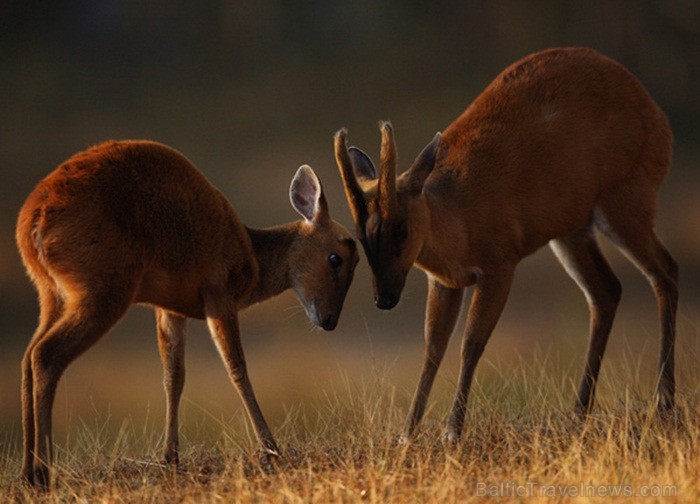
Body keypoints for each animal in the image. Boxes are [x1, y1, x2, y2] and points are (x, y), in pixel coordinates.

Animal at [15, 140, 360, 486]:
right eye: (336, 258)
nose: (329, 320)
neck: (251, 255)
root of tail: (33, 218)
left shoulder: (169, 309)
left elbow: (173, 376)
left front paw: (170, 457)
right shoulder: (219, 297)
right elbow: (237, 368)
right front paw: (272, 450)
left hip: (51, 296)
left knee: (28, 356)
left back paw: (26, 471)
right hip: (102, 295)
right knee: (45, 354)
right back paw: (41, 473)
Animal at [334, 46, 680, 440]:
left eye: (401, 229)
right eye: (361, 235)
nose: (384, 299)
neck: (459, 218)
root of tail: (658, 115)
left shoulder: (500, 264)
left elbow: (471, 343)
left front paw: (453, 430)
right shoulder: (444, 281)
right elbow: (433, 347)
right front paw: (408, 433)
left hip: (626, 200)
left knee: (665, 271)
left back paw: (663, 400)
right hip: (571, 230)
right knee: (607, 290)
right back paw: (579, 410)